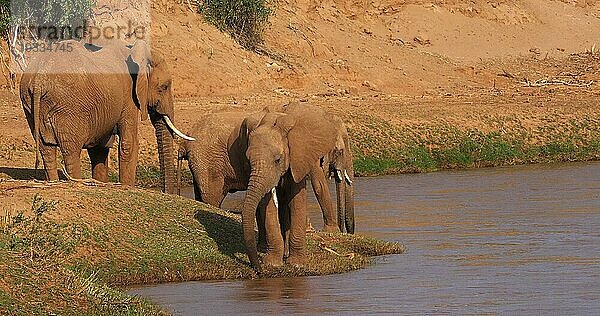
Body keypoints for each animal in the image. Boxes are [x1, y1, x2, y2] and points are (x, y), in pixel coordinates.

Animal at [19, 39, 192, 193]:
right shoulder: (128, 97)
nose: (168, 192)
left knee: (46, 149)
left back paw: (54, 182)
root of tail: (39, 79)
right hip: (68, 109)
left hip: (30, 105)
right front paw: (126, 186)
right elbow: (129, 143)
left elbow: (99, 148)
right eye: (164, 87)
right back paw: (76, 182)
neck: (134, 49)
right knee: (71, 152)